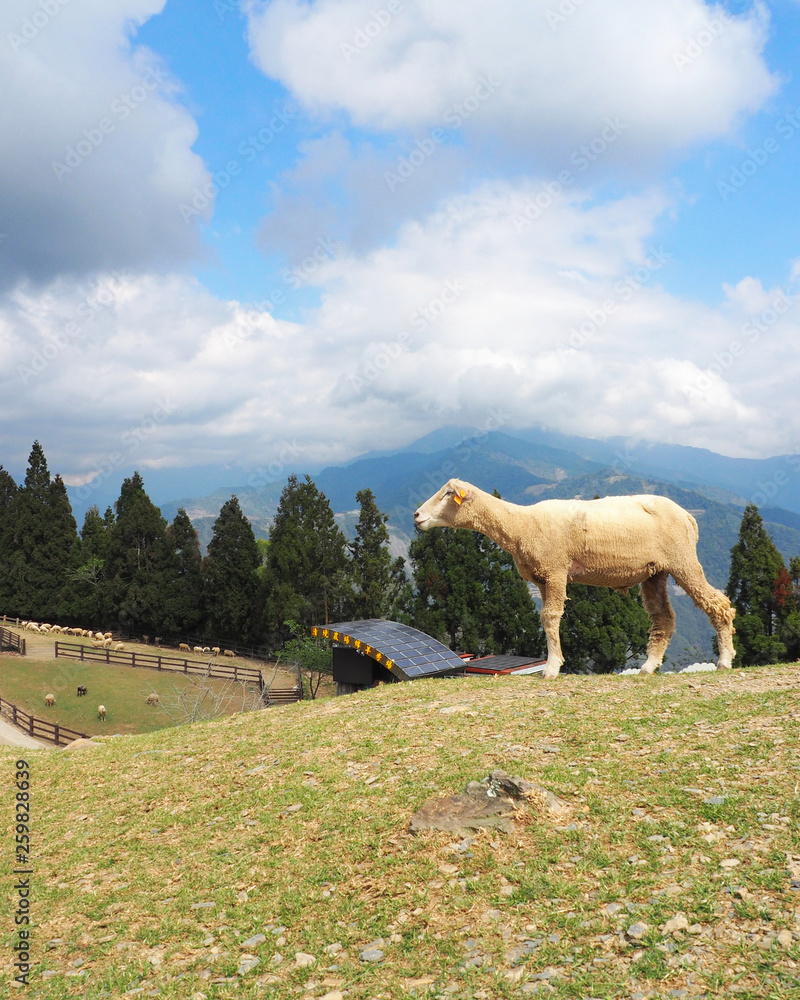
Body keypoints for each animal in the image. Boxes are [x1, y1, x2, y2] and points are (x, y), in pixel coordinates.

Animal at [414, 479, 736, 679]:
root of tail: (688, 517)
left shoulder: (556, 570)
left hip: (683, 560)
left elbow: (550, 617)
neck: (521, 525)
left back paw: (724, 660)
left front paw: (552, 668)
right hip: (655, 571)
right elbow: (546, 619)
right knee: (663, 619)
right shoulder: (542, 578)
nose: (417, 515)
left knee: (719, 604)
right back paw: (648, 667)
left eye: (447, 494)